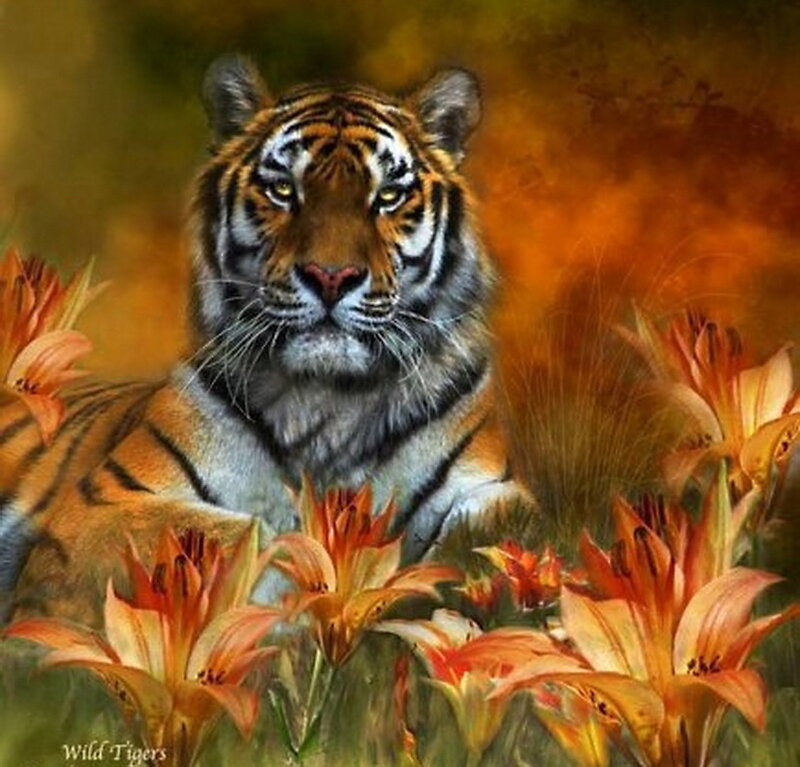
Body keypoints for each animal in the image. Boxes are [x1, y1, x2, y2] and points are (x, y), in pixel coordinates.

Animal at [0, 55, 536, 624]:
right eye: (283, 191)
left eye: (388, 197)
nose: (331, 276)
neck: (332, 401)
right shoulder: (105, 503)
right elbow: (260, 534)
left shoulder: (493, 489)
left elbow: (493, 534)